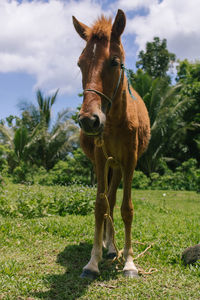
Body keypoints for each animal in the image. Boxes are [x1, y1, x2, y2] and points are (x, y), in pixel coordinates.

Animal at [72, 8, 150, 278]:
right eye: (80, 63)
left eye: (114, 62)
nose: (89, 120)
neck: (115, 121)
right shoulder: (100, 158)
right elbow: (99, 205)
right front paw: (93, 261)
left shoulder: (130, 161)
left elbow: (126, 208)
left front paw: (129, 262)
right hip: (110, 165)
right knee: (108, 201)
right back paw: (108, 247)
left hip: (117, 167)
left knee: (114, 200)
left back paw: (113, 248)